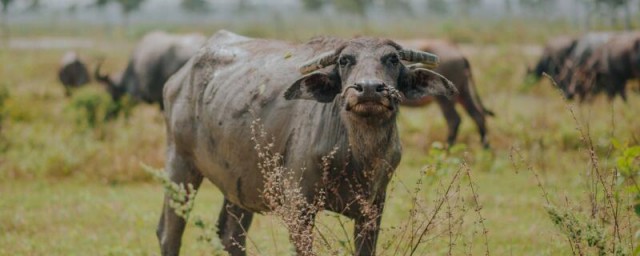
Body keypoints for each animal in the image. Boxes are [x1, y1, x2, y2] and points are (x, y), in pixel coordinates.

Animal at [158, 30, 458, 256]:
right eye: (345, 60)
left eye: (392, 59)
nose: (370, 89)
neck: (356, 155)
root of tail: (177, 79)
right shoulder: (299, 206)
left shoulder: (373, 209)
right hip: (180, 166)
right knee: (169, 232)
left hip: (239, 184)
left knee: (231, 236)